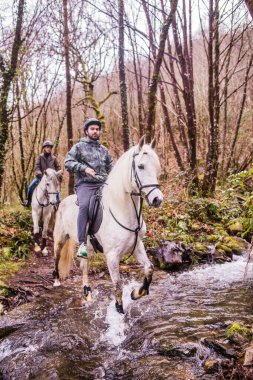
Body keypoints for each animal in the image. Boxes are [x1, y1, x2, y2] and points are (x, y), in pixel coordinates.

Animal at [53, 138, 164, 314]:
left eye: (156, 166)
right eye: (141, 166)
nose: (157, 199)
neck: (121, 210)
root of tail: (64, 200)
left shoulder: (137, 246)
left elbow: (149, 269)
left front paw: (136, 293)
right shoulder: (112, 256)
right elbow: (118, 285)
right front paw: (119, 310)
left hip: (87, 247)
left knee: (84, 266)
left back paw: (87, 292)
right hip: (60, 238)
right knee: (56, 255)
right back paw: (57, 280)